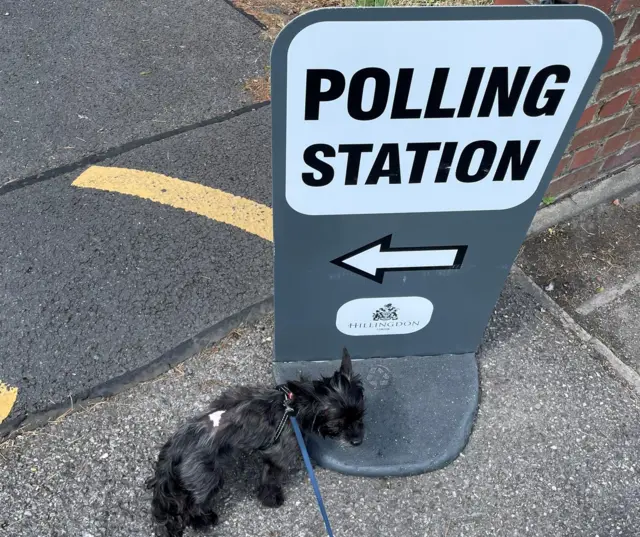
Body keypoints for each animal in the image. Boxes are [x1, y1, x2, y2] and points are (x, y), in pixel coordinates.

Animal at [146, 348, 364, 536]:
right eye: (337, 423)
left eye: (361, 414)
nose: (358, 441)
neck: (294, 407)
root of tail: (178, 444)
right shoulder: (279, 455)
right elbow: (270, 479)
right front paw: (271, 499)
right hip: (206, 478)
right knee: (192, 506)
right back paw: (204, 521)